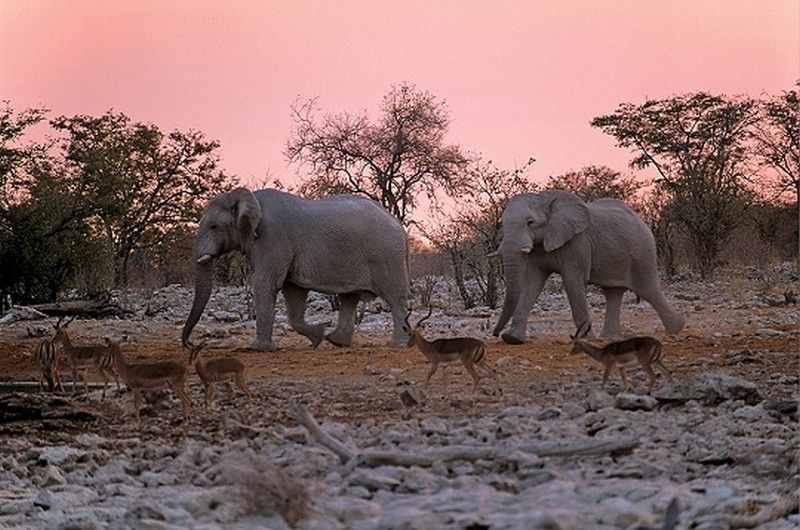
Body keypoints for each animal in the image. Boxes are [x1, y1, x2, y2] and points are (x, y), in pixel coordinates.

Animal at [180, 187, 406, 350]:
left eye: (214, 227)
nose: (191, 345)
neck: (250, 198)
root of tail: (398, 224)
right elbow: (293, 291)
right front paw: (317, 336)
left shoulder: (273, 238)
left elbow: (265, 284)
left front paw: (258, 349)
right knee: (350, 297)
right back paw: (336, 341)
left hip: (387, 257)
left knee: (394, 297)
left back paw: (397, 344)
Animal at [490, 190, 684, 342]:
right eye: (502, 224)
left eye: (530, 222)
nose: (495, 334)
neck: (544, 200)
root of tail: (642, 220)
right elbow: (532, 283)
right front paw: (512, 339)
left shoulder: (577, 242)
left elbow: (573, 282)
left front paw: (586, 340)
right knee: (613, 293)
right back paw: (609, 338)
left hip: (642, 252)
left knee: (648, 289)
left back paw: (677, 329)